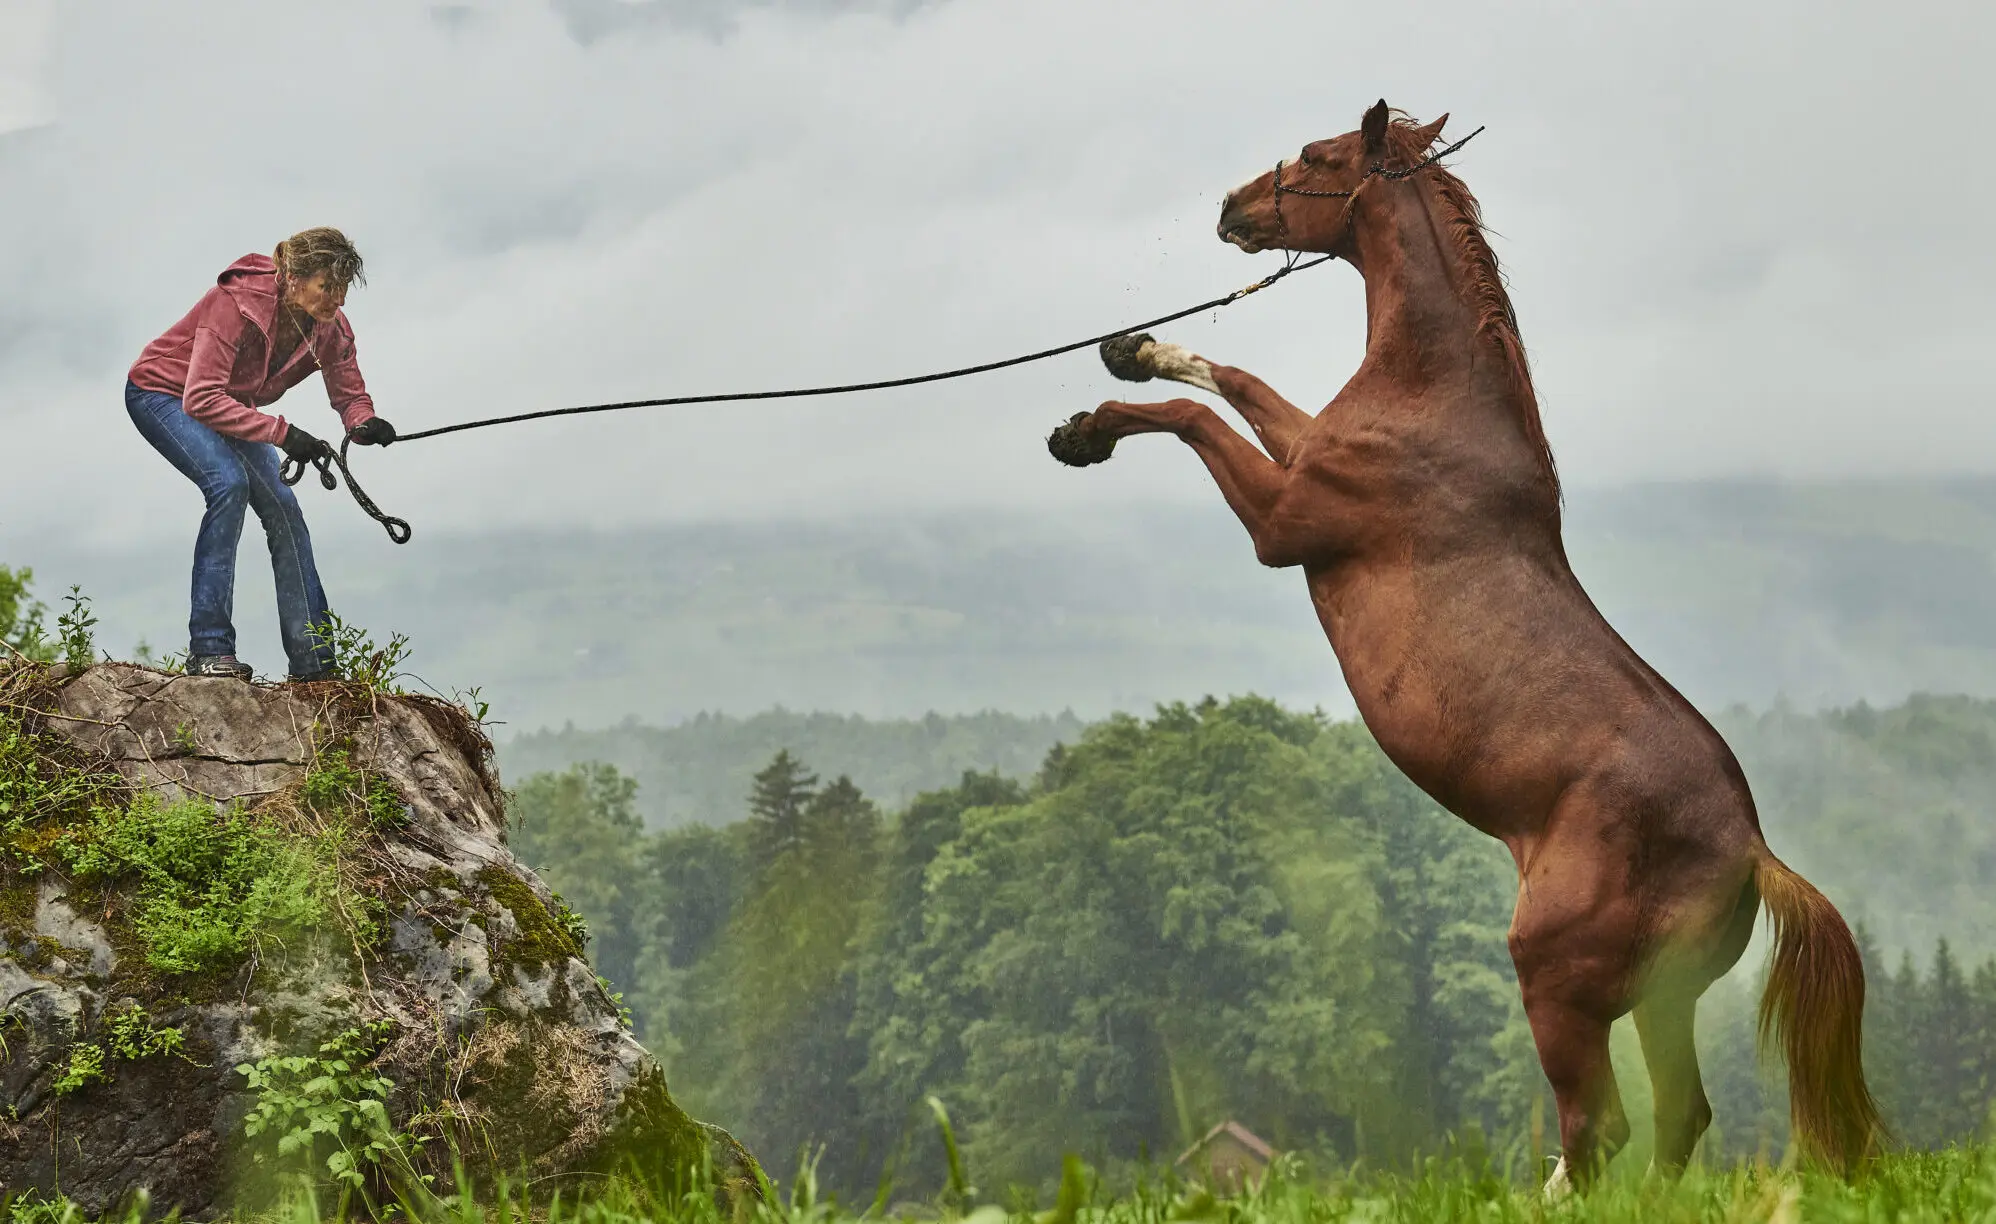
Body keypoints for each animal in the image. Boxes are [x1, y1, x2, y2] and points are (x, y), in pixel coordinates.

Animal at [1053, 100, 1876, 1190]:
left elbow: (1197, 412)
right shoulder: (1299, 445)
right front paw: (1131, 349)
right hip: (1660, 1002)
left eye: (1316, 156)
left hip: (1555, 975)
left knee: (1599, 1126)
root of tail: (1751, 851)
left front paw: (1086, 431)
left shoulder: (1284, 518)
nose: (1230, 206)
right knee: (1678, 1117)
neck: (1433, 402)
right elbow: (1232, 376)